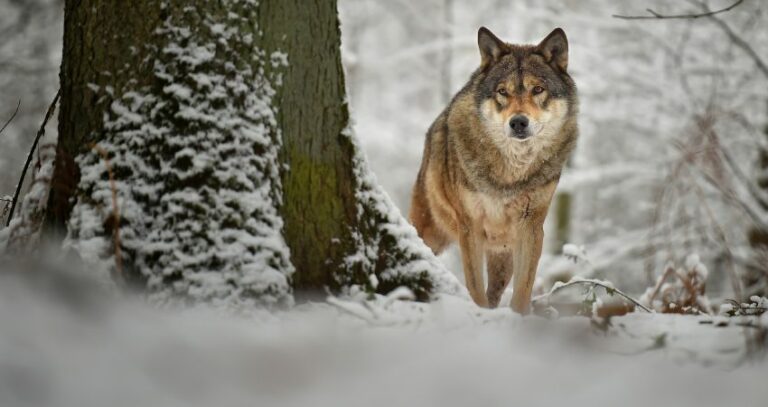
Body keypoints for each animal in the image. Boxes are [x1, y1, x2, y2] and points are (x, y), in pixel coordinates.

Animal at [408, 27, 576, 314]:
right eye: (502, 92)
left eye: (538, 89)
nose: (518, 122)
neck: (510, 173)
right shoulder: (469, 227)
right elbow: (475, 288)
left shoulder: (531, 228)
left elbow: (522, 291)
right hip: (429, 231)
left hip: (503, 254)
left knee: (496, 291)